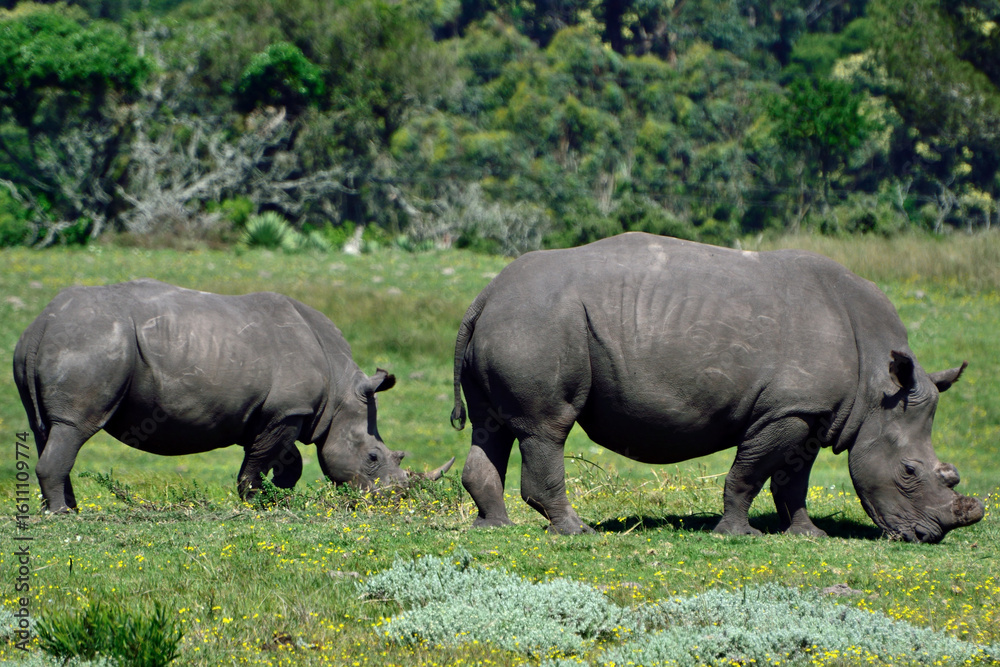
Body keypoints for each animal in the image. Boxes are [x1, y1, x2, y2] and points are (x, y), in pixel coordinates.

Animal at [14, 279, 453, 513]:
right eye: (374, 457)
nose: (393, 498)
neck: (341, 388)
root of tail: (39, 326)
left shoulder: (277, 412)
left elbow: (284, 457)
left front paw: (278, 494)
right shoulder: (287, 410)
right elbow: (261, 458)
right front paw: (255, 500)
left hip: (59, 344)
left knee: (47, 429)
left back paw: (67, 508)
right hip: (90, 343)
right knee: (73, 427)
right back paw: (64, 515)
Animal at [450, 233, 984, 543]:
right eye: (910, 470)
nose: (930, 535)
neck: (877, 386)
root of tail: (485, 294)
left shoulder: (814, 412)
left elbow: (793, 480)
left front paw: (807, 536)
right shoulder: (786, 410)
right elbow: (750, 473)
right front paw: (735, 536)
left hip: (514, 320)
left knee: (490, 426)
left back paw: (493, 528)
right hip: (537, 322)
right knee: (546, 427)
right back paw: (576, 532)